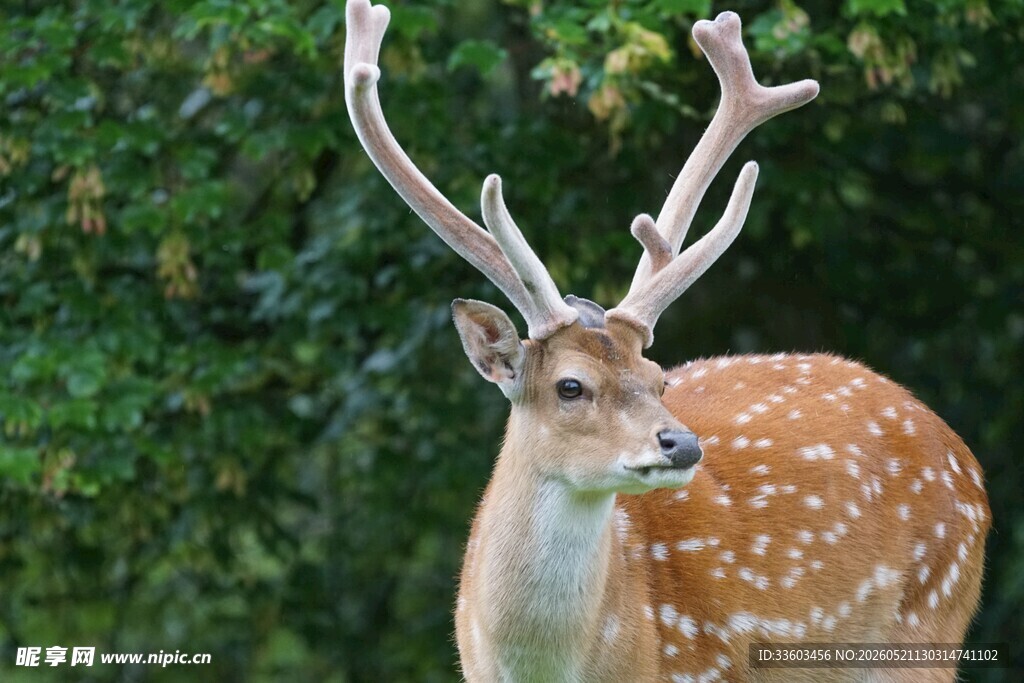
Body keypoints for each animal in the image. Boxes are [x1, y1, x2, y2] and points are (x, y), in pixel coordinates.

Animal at [344, 1, 991, 681]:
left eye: (660, 379)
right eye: (570, 386)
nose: (682, 444)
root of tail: (964, 457)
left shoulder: (702, 665)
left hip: (930, 623)